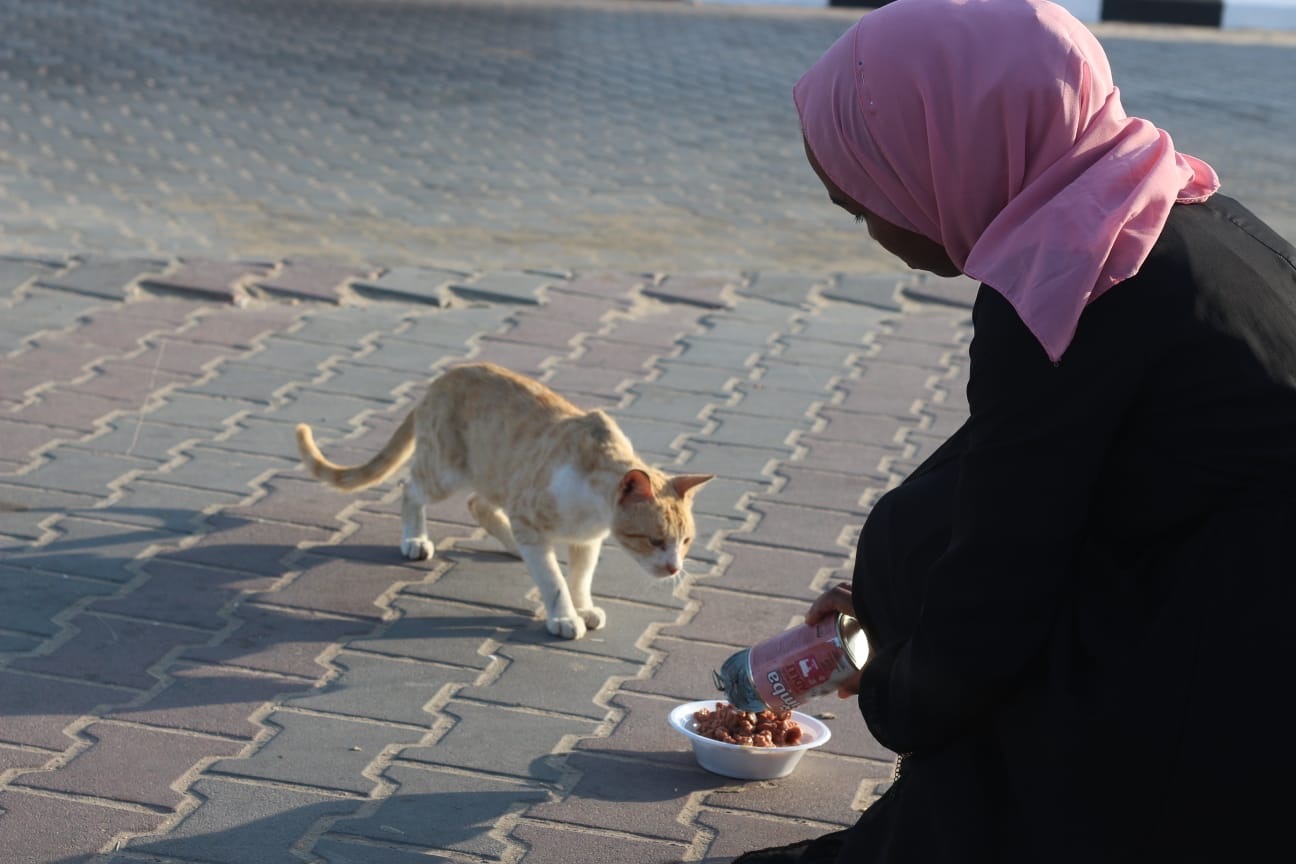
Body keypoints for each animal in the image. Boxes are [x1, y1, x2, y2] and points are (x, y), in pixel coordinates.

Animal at [295, 362, 715, 639]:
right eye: (654, 540)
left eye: (686, 541)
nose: (675, 568)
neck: (592, 510)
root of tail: (441, 379)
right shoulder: (531, 516)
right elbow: (553, 579)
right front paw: (565, 616)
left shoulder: (586, 540)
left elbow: (580, 577)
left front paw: (582, 606)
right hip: (445, 473)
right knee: (411, 489)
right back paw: (415, 539)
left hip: (494, 476)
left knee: (479, 505)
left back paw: (512, 545)